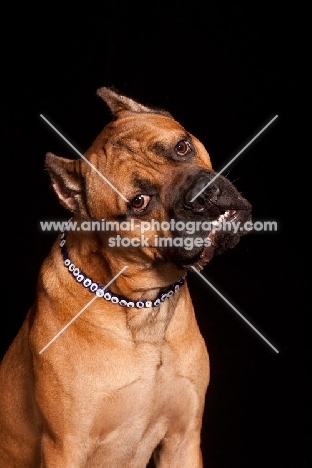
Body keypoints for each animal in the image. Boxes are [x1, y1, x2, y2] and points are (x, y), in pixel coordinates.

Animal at [0, 87, 251, 464]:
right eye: (139, 202)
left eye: (182, 147)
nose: (201, 196)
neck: (141, 307)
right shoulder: (65, 447)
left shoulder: (183, 440)